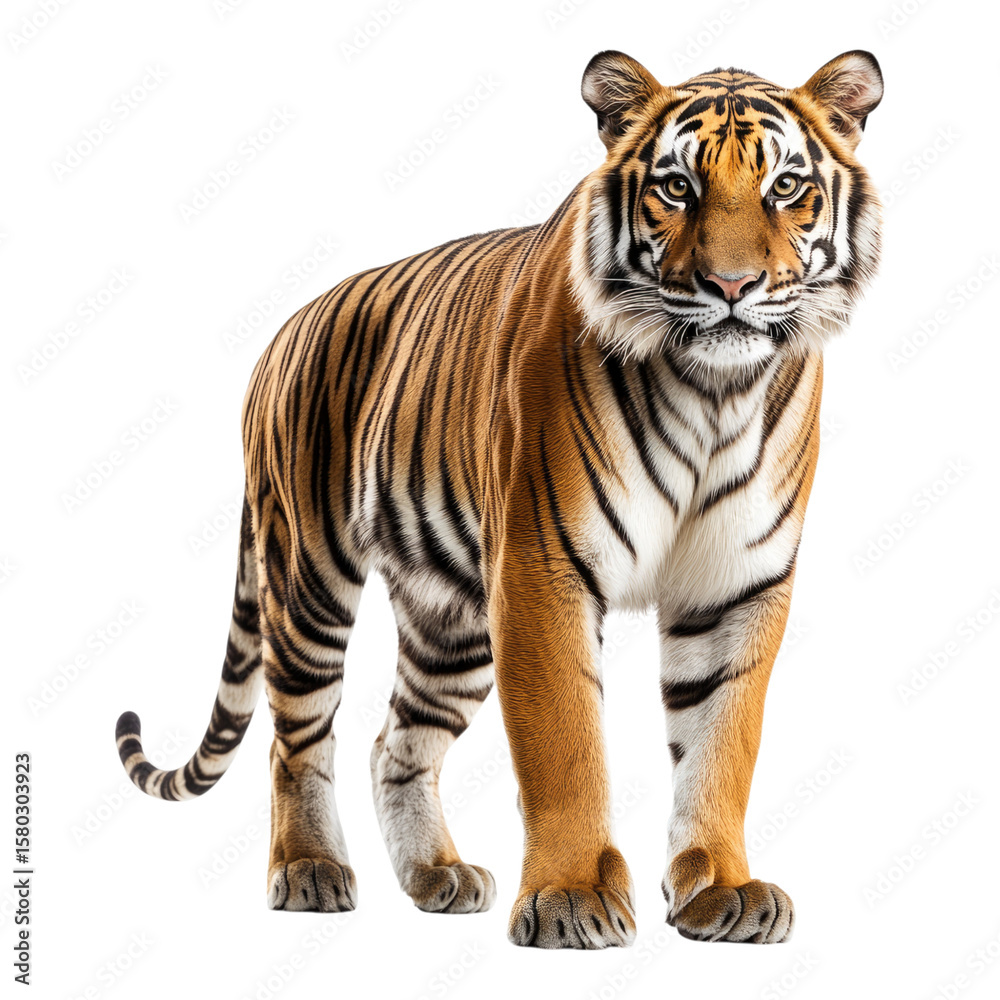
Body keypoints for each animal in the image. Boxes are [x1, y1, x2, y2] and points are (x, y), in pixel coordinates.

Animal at [114, 48, 883, 949]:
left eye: (786, 186)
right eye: (678, 187)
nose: (732, 284)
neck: (714, 390)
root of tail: (281, 336)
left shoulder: (737, 584)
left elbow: (723, 743)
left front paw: (721, 888)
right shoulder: (543, 568)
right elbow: (564, 746)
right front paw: (572, 896)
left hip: (452, 621)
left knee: (394, 743)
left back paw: (435, 875)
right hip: (308, 577)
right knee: (297, 740)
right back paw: (309, 871)